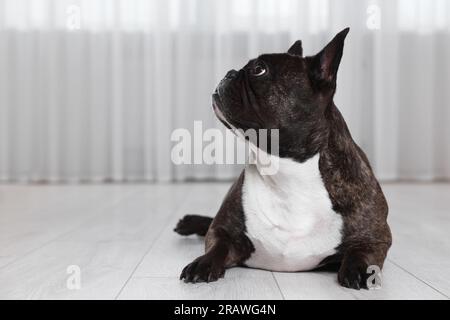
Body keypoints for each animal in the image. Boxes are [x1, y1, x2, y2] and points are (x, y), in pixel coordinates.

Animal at [174, 28, 392, 290]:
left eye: (259, 69)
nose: (229, 72)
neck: (286, 169)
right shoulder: (222, 229)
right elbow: (217, 244)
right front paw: (203, 264)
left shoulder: (377, 237)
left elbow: (363, 250)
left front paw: (359, 269)